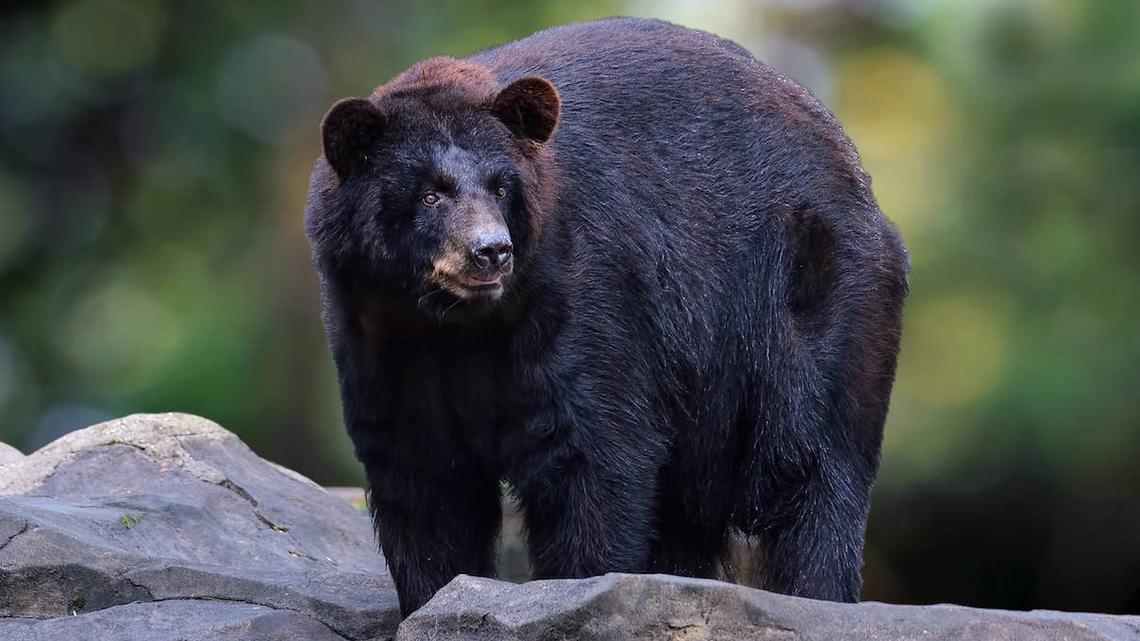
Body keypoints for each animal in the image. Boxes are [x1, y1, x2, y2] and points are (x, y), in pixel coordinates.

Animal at [304, 17, 908, 617]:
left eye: (501, 186)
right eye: (430, 194)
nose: (491, 251)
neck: (456, 323)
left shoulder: (587, 292)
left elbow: (592, 454)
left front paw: (575, 588)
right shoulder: (378, 337)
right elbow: (422, 481)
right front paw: (432, 595)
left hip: (811, 297)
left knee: (812, 464)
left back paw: (818, 594)